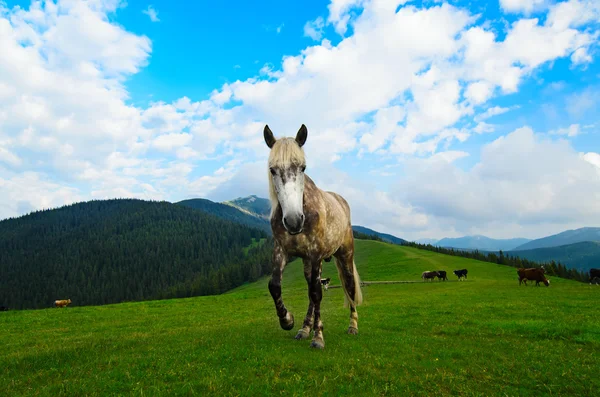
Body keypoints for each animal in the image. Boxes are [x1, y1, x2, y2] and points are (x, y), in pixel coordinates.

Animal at [262, 122, 360, 348]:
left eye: (303, 168)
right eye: (272, 169)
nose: (293, 220)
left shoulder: (315, 255)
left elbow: (317, 293)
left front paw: (318, 336)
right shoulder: (282, 251)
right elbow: (275, 285)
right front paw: (288, 320)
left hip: (345, 256)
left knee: (349, 287)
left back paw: (352, 326)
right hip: (309, 262)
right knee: (310, 291)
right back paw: (304, 328)